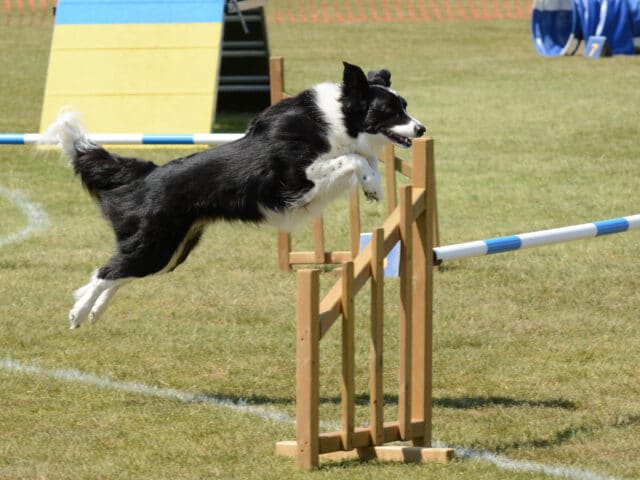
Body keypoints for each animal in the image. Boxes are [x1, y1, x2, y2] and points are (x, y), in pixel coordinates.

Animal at [45, 62, 424, 328]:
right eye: (391, 111)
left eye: (406, 105)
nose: (421, 128)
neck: (340, 119)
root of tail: (148, 174)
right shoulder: (296, 179)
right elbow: (354, 158)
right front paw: (371, 182)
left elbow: (365, 159)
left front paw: (374, 185)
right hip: (157, 244)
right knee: (106, 270)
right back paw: (78, 312)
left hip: (173, 251)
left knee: (118, 273)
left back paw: (94, 312)